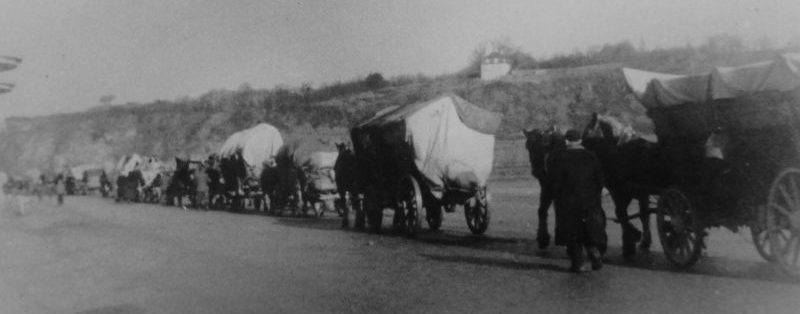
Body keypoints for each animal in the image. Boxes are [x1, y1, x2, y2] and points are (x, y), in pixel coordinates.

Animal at [580, 113, 668, 258]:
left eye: (587, 129)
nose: (580, 145)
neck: (619, 150)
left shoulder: (621, 191)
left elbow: (627, 214)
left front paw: (634, 241)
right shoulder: (635, 192)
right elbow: (637, 215)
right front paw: (635, 238)